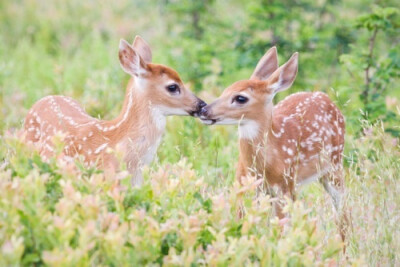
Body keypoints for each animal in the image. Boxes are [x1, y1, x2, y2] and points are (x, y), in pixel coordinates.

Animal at [202, 47, 348, 242]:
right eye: (225, 90)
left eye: (240, 98)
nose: (204, 110)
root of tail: (326, 97)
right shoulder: (244, 184)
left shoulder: (284, 186)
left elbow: (279, 229)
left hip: (334, 165)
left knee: (342, 212)